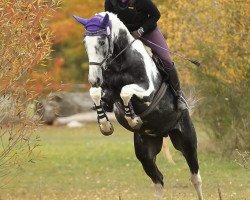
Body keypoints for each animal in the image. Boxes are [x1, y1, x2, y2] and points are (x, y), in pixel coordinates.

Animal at [73, 11, 203, 199]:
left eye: (102, 41)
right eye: (85, 42)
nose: (94, 78)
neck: (121, 62)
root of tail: (163, 133)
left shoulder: (147, 91)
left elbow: (125, 91)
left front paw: (132, 119)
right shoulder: (107, 93)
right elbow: (96, 94)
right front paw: (105, 125)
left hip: (187, 141)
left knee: (195, 176)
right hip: (145, 152)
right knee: (158, 180)